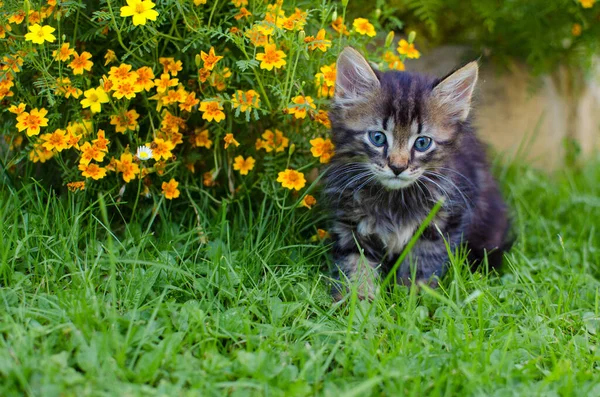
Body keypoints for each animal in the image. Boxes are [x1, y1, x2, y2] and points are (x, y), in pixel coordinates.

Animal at [326, 47, 508, 300]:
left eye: (422, 143)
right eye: (377, 138)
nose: (398, 167)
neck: (394, 200)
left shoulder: (441, 223)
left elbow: (421, 266)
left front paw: (413, 300)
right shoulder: (351, 224)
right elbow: (356, 265)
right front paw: (359, 301)